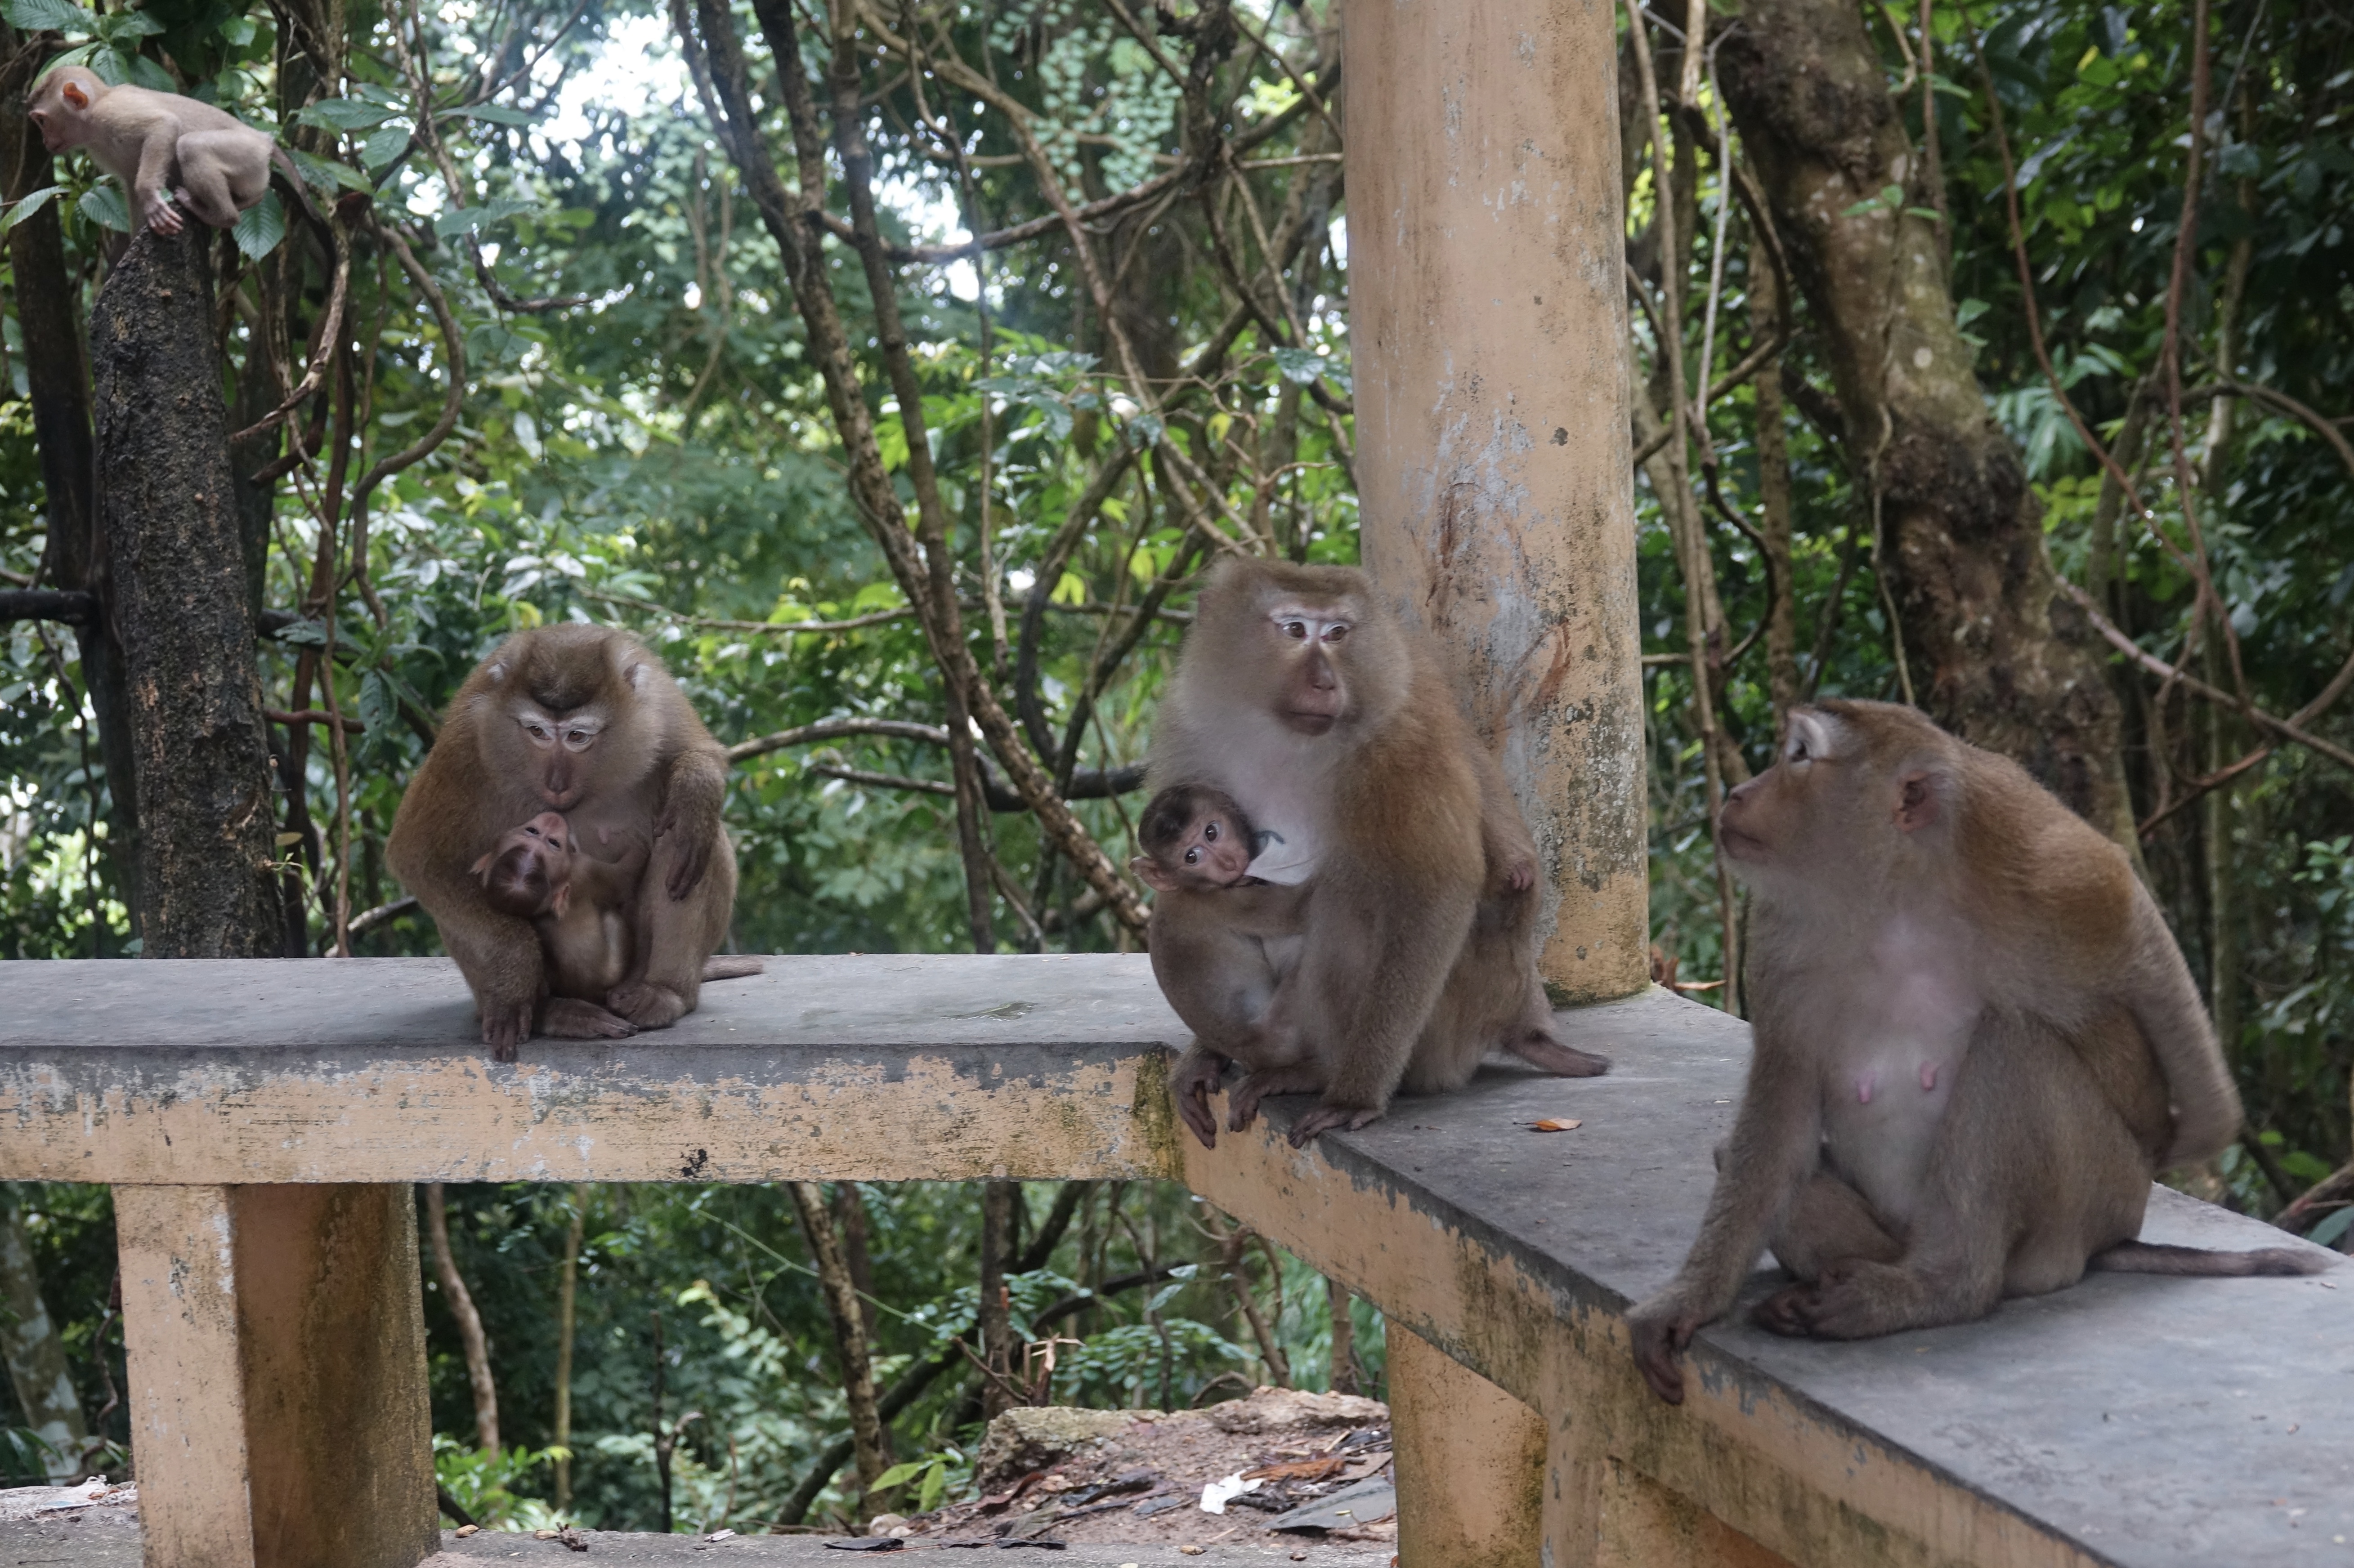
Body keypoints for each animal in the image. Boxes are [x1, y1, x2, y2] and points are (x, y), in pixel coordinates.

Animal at [27, 66, 320, 235]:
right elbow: (131, 183)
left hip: (246, 152)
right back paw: (247, 201)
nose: (44, 141)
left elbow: (164, 125)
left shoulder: (111, 115)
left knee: (191, 146)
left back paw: (222, 215)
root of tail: (265, 140)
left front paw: (152, 200)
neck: (91, 117)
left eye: (42, 121)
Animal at [386, 621, 739, 1050]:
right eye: (537, 731)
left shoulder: (659, 700)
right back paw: (550, 1012)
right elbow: (419, 855)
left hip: (632, 974)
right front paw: (517, 964)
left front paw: (695, 787)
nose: (555, 784)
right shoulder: (467, 737)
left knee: (688, 839)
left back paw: (666, 992)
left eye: (577, 737)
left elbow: (704, 754)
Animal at [1130, 786, 1318, 1130]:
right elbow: (1301, 909)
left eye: (1211, 832)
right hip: (1292, 1024)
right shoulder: (1229, 902)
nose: (1228, 862)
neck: (1188, 888)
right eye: (1191, 857)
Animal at [1149, 555, 1610, 1144]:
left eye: (1337, 634)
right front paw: (1201, 1057)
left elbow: (1434, 894)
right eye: (1295, 630)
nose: (1324, 681)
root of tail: (1517, 1018)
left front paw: (1354, 1097)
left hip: (1444, 1028)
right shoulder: (1194, 729)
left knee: (1349, 896)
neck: (1285, 736)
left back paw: (1313, 1072)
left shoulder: (1399, 746)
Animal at [1629, 701, 2326, 1394]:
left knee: (2015, 1043)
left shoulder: (2046, 887)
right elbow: (1778, 1121)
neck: (1890, 904)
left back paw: (1941, 1288)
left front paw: (2204, 1127)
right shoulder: (1777, 945)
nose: (1739, 793)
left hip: (2096, 1199)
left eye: (1797, 756)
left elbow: (2134, 932)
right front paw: (1687, 1300)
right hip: (1892, 1235)